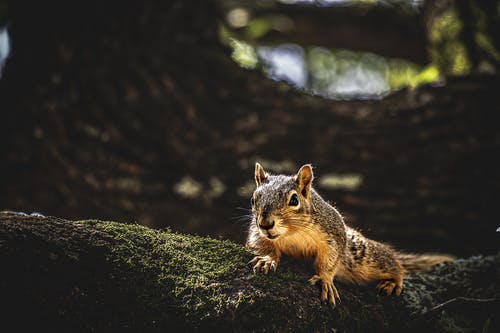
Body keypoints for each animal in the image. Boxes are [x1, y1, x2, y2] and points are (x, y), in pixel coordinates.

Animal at [246, 162, 454, 304]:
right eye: (253, 199)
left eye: (294, 200)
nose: (266, 224)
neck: (291, 232)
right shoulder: (256, 232)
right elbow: (261, 244)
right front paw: (267, 259)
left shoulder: (333, 233)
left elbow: (329, 259)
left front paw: (325, 279)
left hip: (365, 258)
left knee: (394, 263)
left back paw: (393, 282)